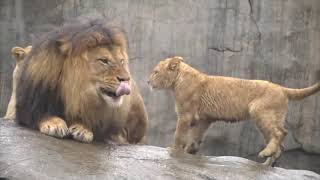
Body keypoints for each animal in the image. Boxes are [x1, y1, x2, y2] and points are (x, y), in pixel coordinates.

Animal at [16, 19, 148, 143]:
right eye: (104, 61)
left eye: (121, 61)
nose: (126, 79)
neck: (77, 92)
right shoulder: (32, 102)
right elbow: (39, 113)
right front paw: (54, 123)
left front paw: (83, 129)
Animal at [148, 56, 320, 166]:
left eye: (155, 71)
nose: (148, 81)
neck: (178, 80)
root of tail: (283, 89)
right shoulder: (204, 118)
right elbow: (196, 135)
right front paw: (191, 150)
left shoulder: (186, 114)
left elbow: (179, 134)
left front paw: (174, 149)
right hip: (272, 117)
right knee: (280, 139)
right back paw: (269, 162)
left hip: (259, 111)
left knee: (280, 133)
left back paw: (265, 154)